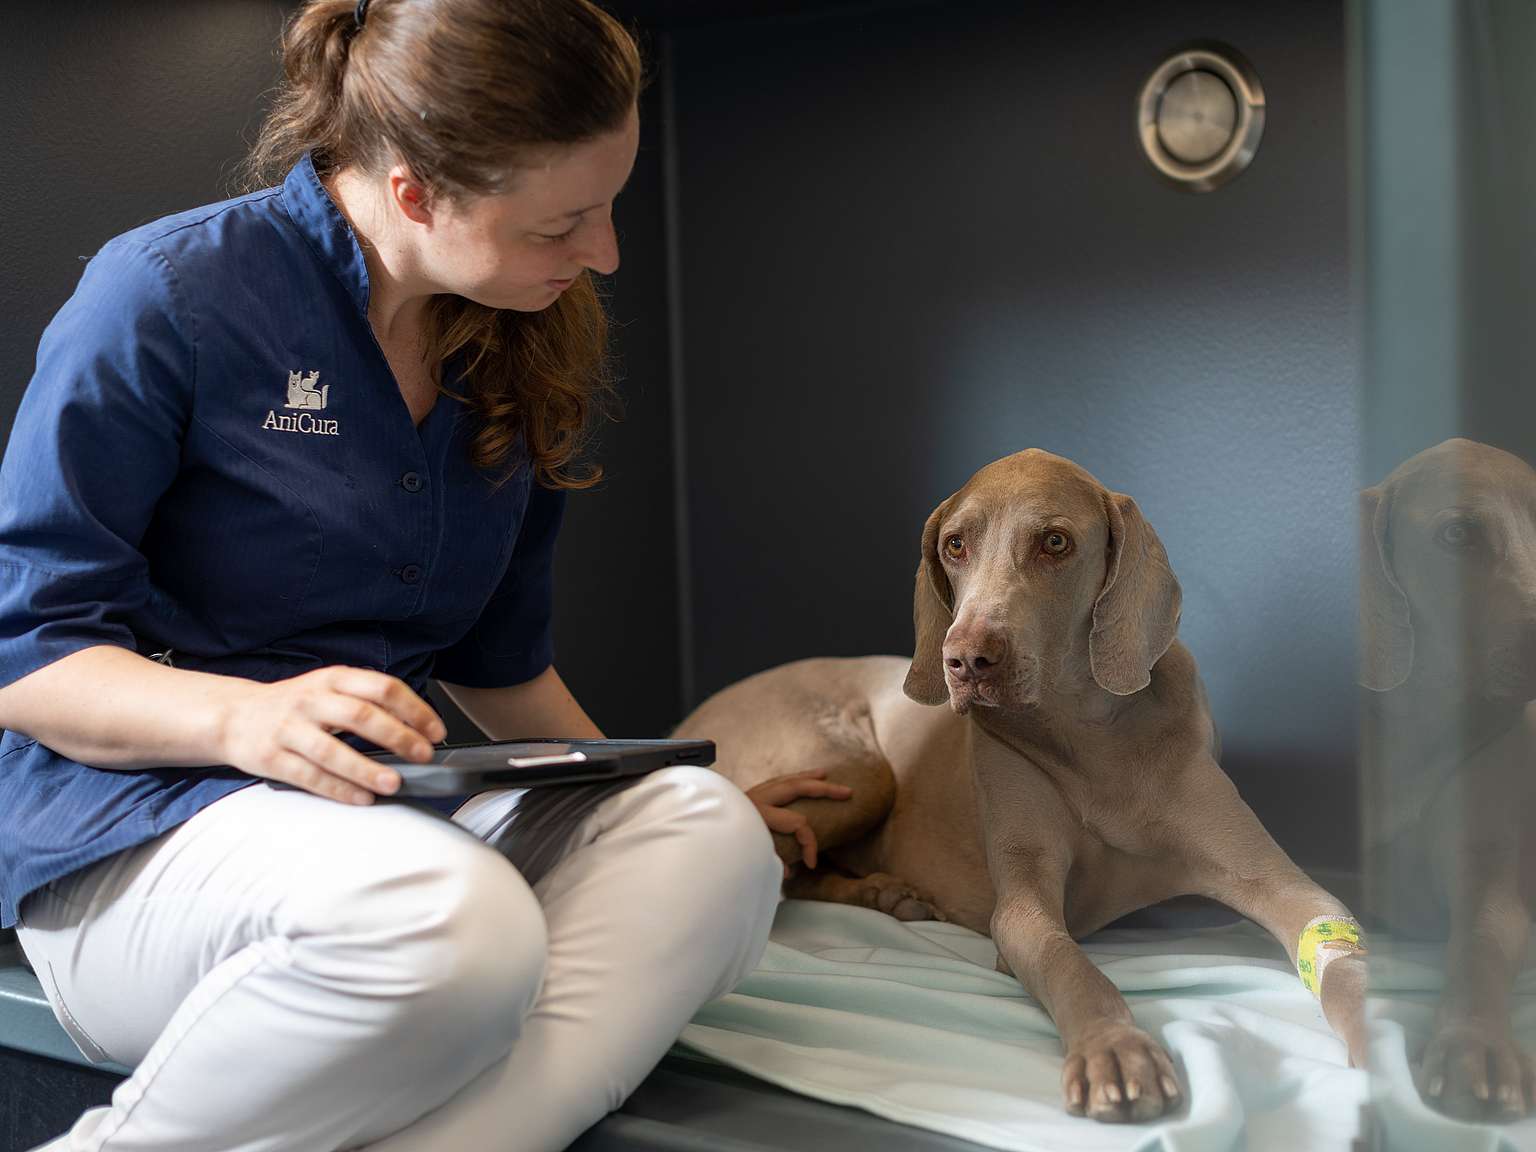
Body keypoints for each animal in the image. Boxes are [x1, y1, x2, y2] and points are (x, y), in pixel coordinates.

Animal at [678, 451, 1363, 1130]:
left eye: (1055, 542)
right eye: (954, 545)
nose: (965, 660)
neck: (1090, 737)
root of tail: (687, 720)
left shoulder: (1282, 885)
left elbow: (1337, 951)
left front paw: (1374, 1053)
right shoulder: (1023, 907)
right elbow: (1072, 967)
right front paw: (1116, 1049)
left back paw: (883, 894)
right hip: (861, 772)